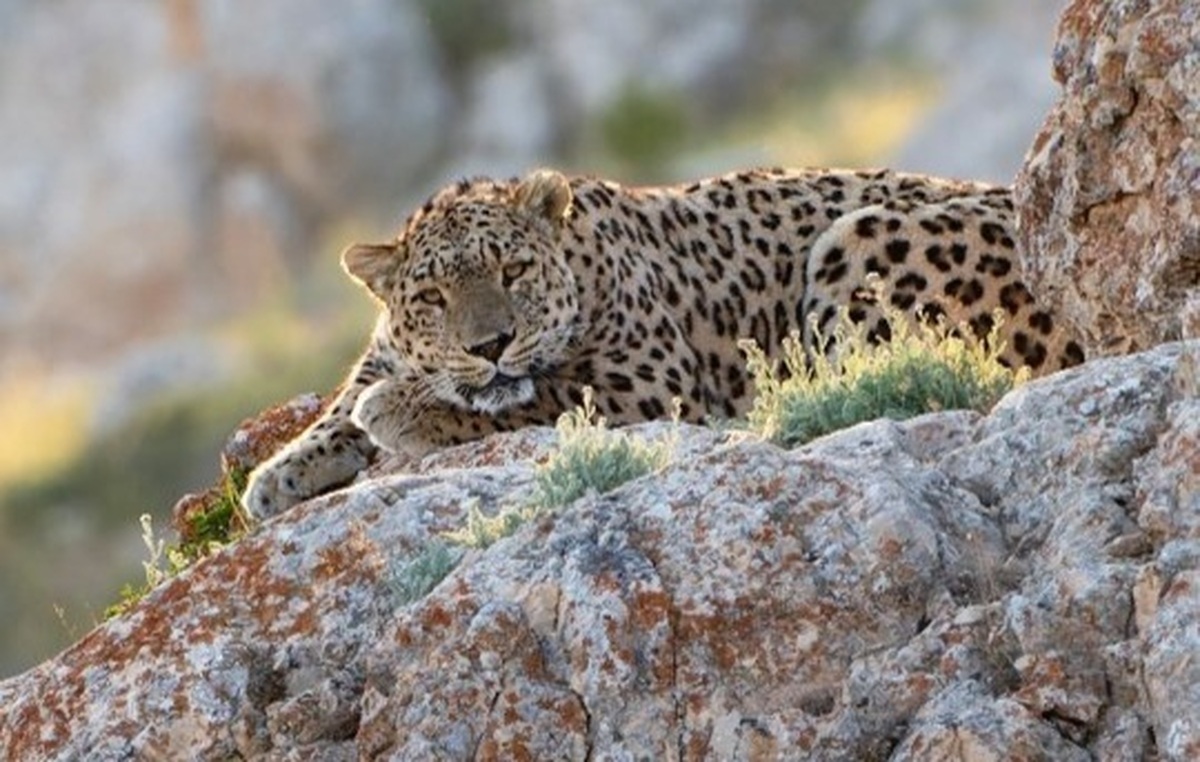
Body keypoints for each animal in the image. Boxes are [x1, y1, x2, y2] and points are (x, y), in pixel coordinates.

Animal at [243, 166, 1089, 518]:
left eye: (514, 270)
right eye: (432, 298)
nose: (490, 343)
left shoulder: (643, 382)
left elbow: (530, 398)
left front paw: (407, 413)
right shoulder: (389, 346)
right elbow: (345, 401)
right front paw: (279, 473)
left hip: (864, 238)